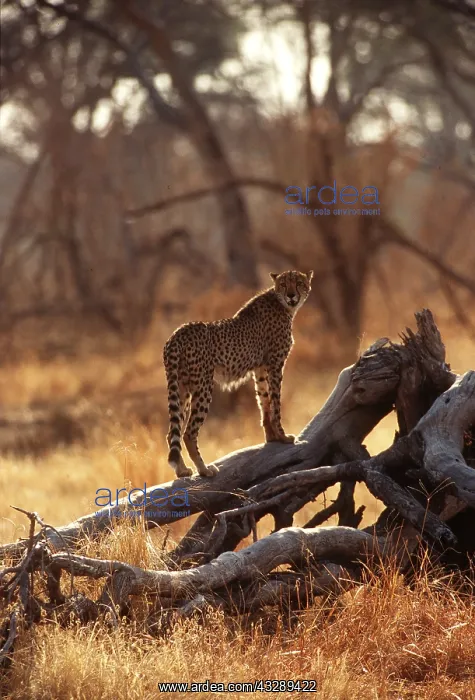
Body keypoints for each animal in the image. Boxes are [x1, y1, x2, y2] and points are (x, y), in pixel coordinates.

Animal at [163, 270, 313, 478]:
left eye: (299, 283)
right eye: (283, 284)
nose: (291, 295)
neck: (282, 304)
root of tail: (178, 333)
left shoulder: (260, 368)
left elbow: (264, 401)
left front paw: (272, 437)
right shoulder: (275, 364)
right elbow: (275, 402)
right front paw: (283, 436)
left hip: (182, 388)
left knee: (173, 433)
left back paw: (182, 470)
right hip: (203, 387)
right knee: (189, 433)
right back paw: (204, 469)